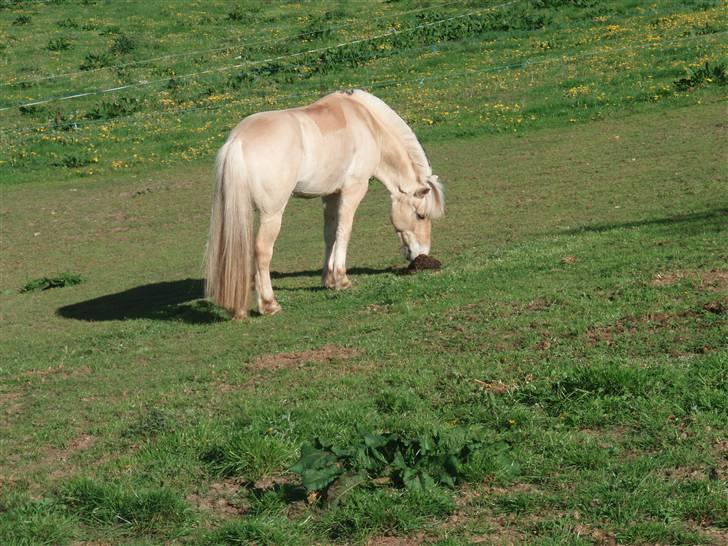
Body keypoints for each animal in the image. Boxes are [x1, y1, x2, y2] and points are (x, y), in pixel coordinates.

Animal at [203, 89, 444, 318]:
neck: (367, 123)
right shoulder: (353, 191)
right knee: (262, 251)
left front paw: (328, 280)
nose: (422, 255)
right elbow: (344, 232)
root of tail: (238, 140)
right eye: (420, 215)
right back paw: (269, 304)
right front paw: (342, 279)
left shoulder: (330, 195)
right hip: (271, 215)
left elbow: (330, 234)